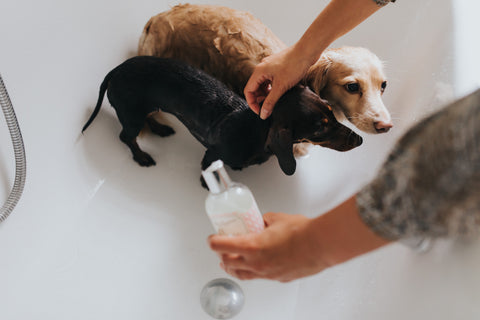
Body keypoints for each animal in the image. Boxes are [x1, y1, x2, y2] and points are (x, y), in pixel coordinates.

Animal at [81, 57, 360, 180]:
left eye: (330, 110)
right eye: (319, 129)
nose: (360, 141)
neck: (254, 129)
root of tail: (115, 70)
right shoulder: (212, 154)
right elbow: (209, 170)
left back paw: (160, 128)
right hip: (130, 115)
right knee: (126, 137)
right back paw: (141, 156)